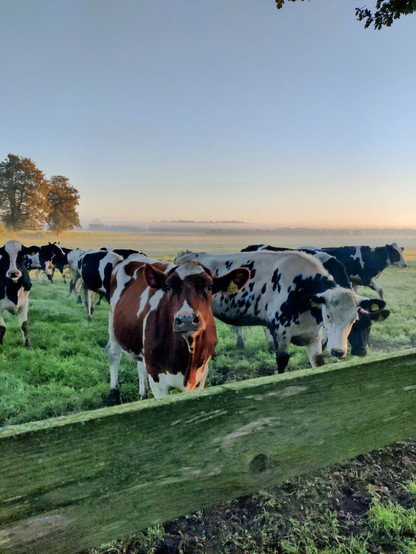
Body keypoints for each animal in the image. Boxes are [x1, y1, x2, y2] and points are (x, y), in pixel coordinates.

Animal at [108, 252, 250, 398]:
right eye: (168, 288)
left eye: (209, 287)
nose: (186, 319)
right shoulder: (157, 378)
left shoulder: (202, 375)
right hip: (112, 323)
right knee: (113, 354)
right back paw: (114, 393)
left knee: (140, 364)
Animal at [174, 249, 386, 370]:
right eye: (327, 315)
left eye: (353, 320)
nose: (338, 351)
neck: (301, 289)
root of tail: (185, 256)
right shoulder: (281, 333)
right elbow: (282, 363)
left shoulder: (314, 335)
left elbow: (317, 363)